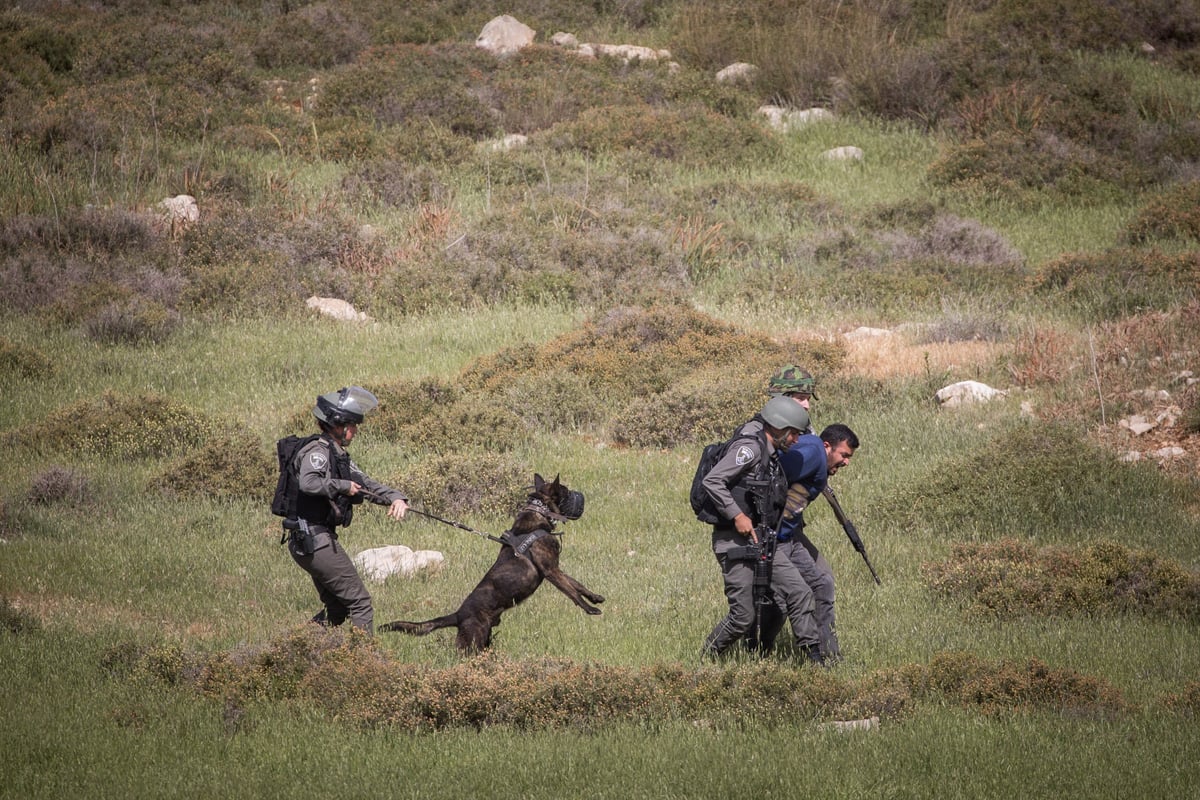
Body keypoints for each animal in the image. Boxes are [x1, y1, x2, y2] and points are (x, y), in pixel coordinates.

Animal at [379, 474, 604, 652]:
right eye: (565, 491)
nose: (581, 498)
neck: (538, 514)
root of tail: (458, 615)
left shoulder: (556, 568)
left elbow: (577, 584)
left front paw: (595, 597)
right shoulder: (550, 571)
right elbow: (572, 591)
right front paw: (590, 609)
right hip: (473, 643)